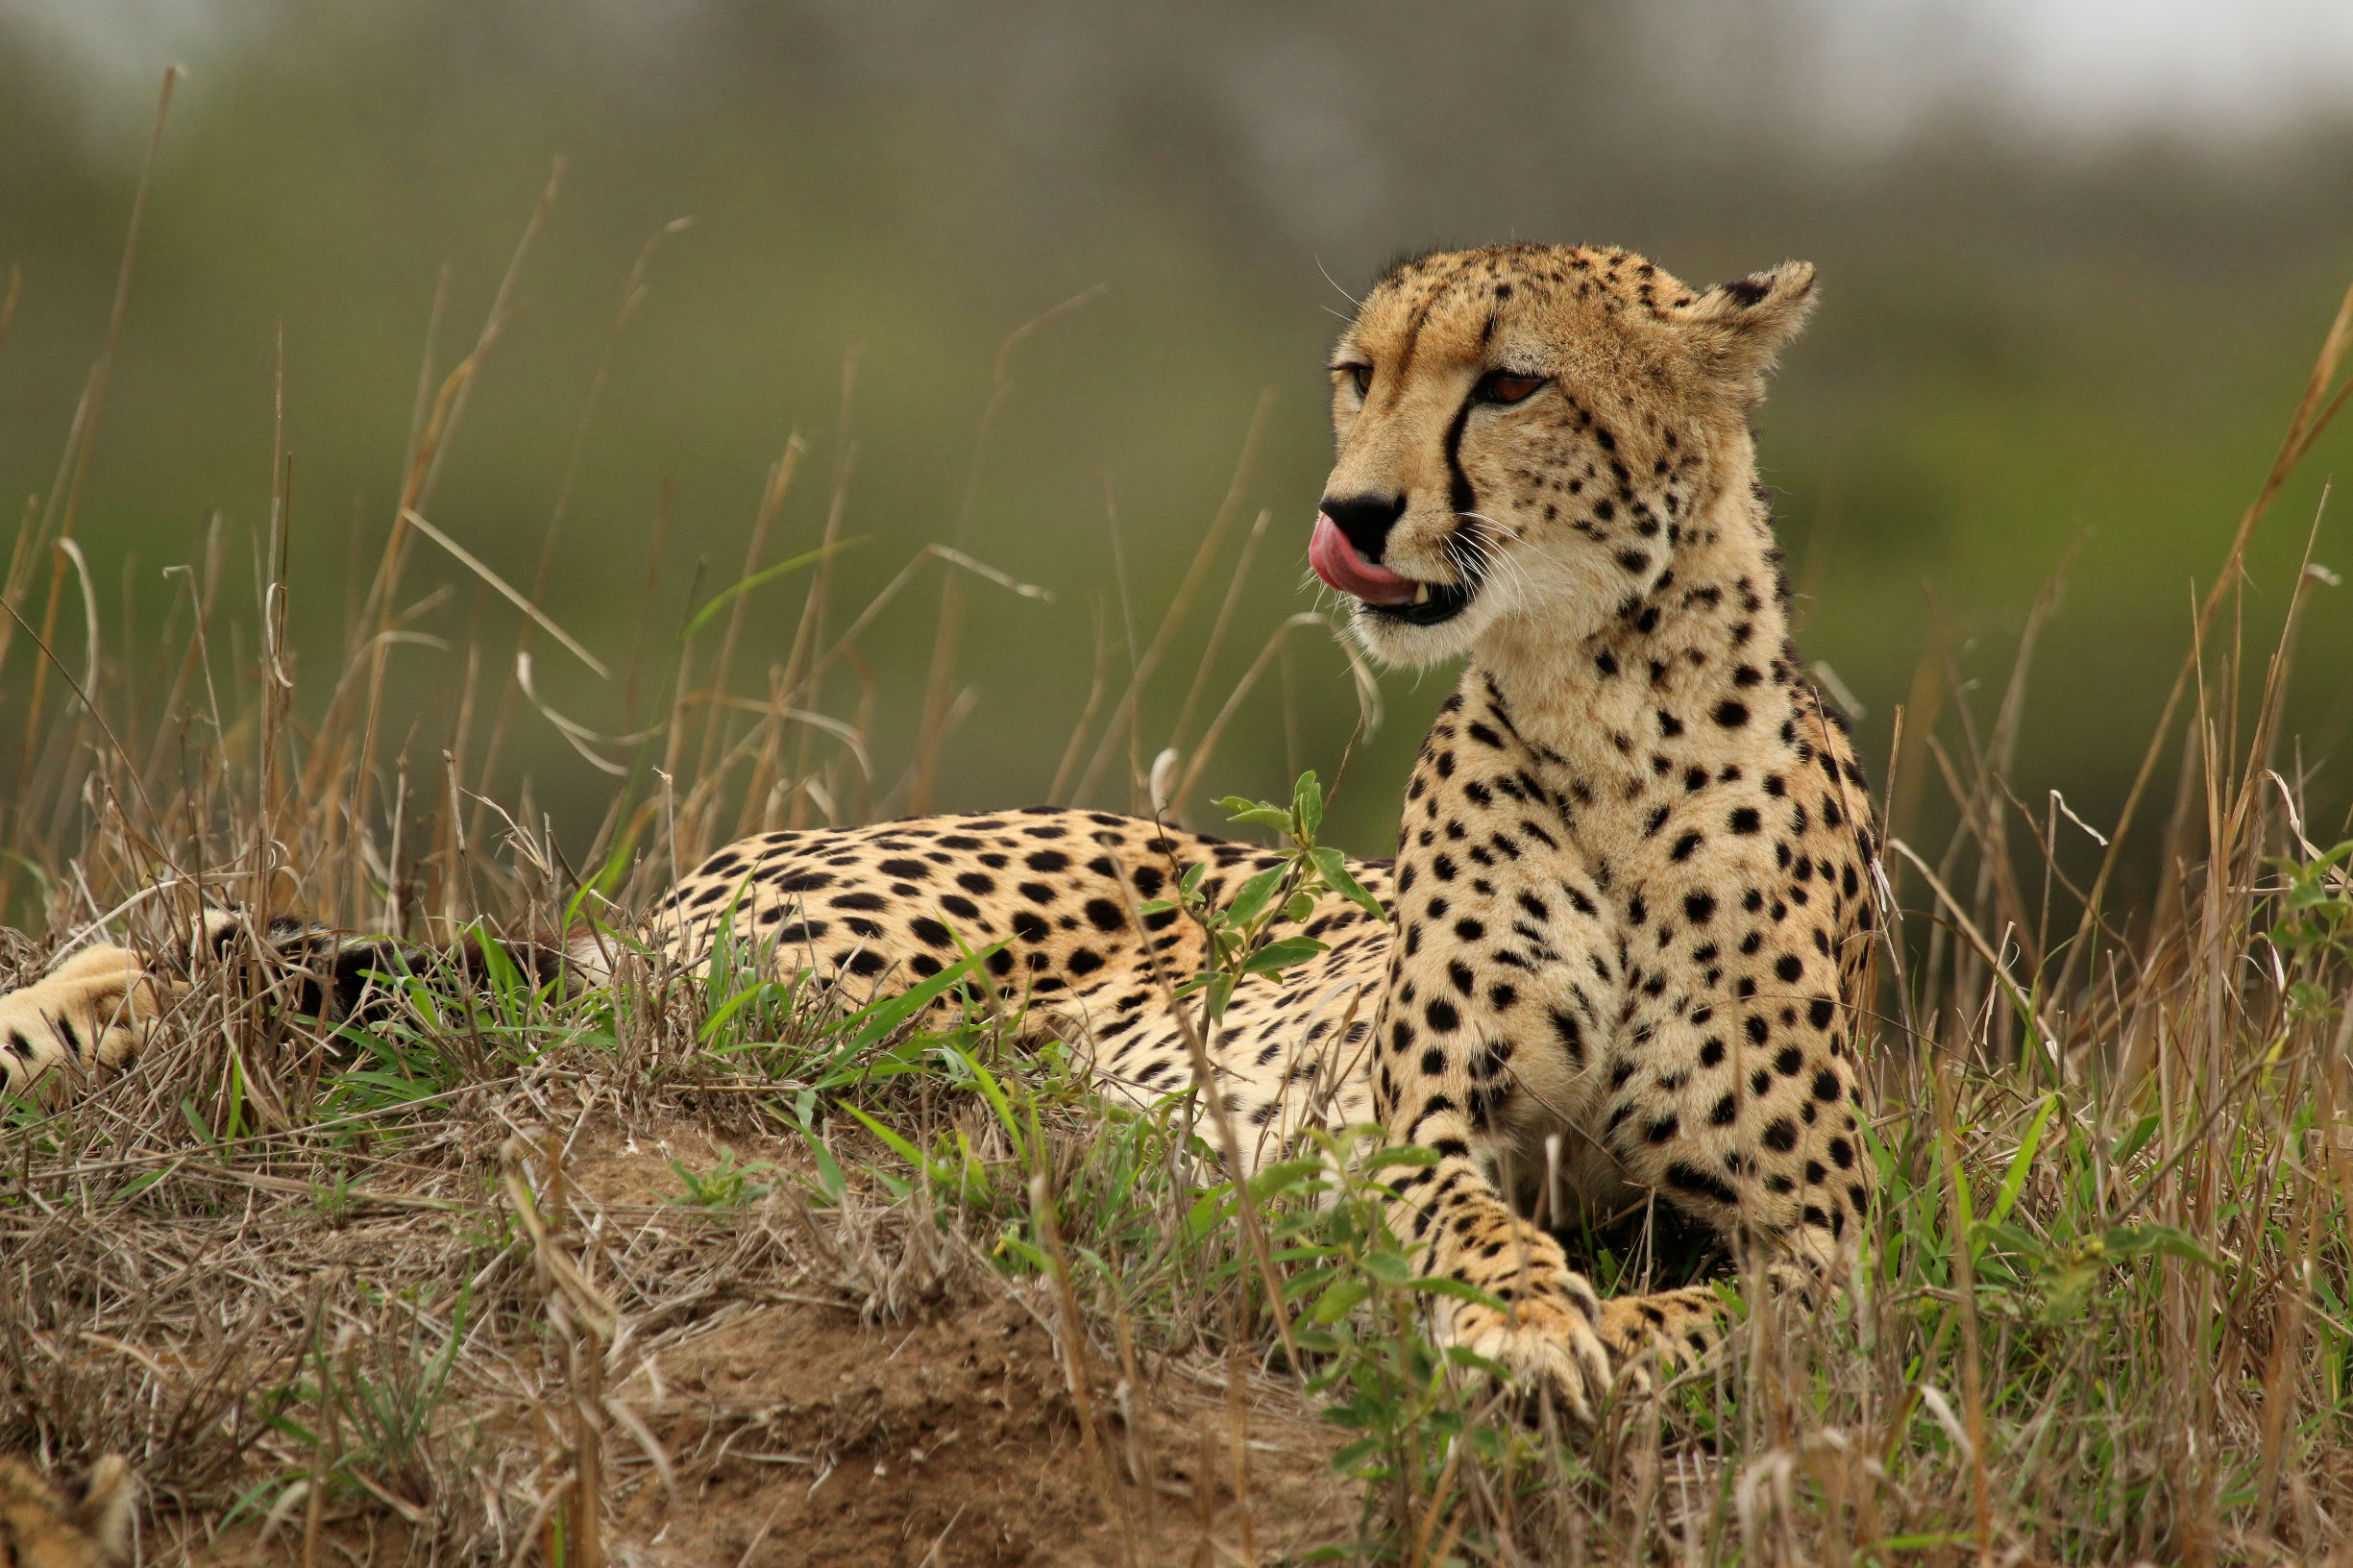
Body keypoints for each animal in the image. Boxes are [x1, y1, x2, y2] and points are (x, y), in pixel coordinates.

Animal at [4, 241, 1873, 1412]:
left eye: (1508, 385)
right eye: (1360, 376)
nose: (1350, 511)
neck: (1601, 708)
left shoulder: (1823, 1242)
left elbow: (1733, 1330)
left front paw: (1585, 1334)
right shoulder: (1409, 1128)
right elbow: (1482, 1221)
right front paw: (1521, 1319)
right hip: (812, 995)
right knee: (448, 984)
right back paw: (84, 1006)